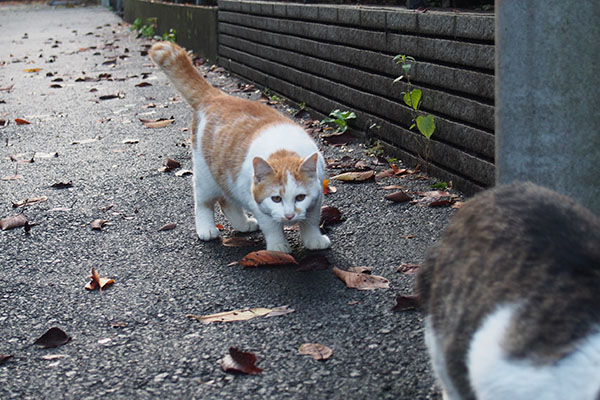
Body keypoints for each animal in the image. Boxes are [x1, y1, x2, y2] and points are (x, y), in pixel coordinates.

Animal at [148, 41, 330, 253]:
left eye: (300, 197)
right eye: (276, 199)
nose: (289, 216)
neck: (282, 150)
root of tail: (216, 96)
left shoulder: (317, 197)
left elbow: (311, 221)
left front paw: (313, 239)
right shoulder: (257, 202)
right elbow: (271, 226)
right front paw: (278, 247)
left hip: (226, 178)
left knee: (227, 202)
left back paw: (243, 224)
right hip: (206, 176)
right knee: (204, 202)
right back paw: (206, 228)